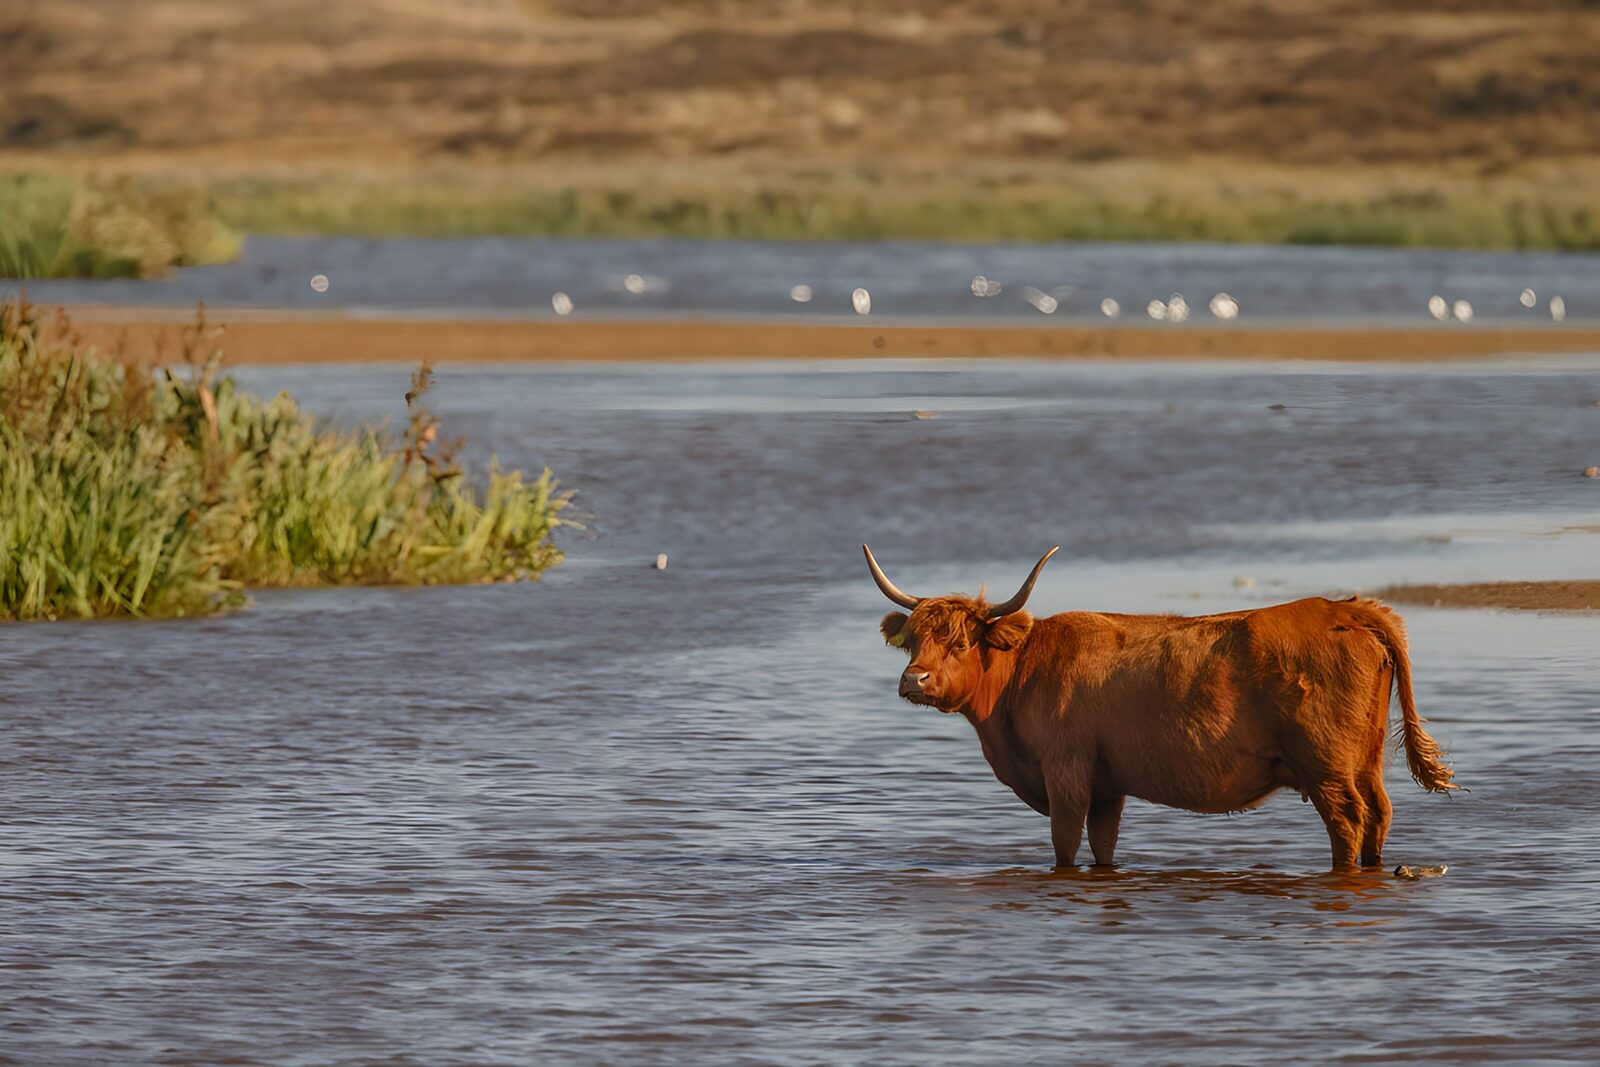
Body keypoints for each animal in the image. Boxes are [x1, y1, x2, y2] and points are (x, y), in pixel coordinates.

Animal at [864, 544, 1457, 871]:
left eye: (961, 641)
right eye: (914, 642)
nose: (913, 679)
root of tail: (1349, 610)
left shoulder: (1067, 774)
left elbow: (1064, 846)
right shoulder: (1107, 786)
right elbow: (1103, 846)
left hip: (1327, 766)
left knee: (1348, 821)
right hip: (1366, 758)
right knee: (1379, 813)